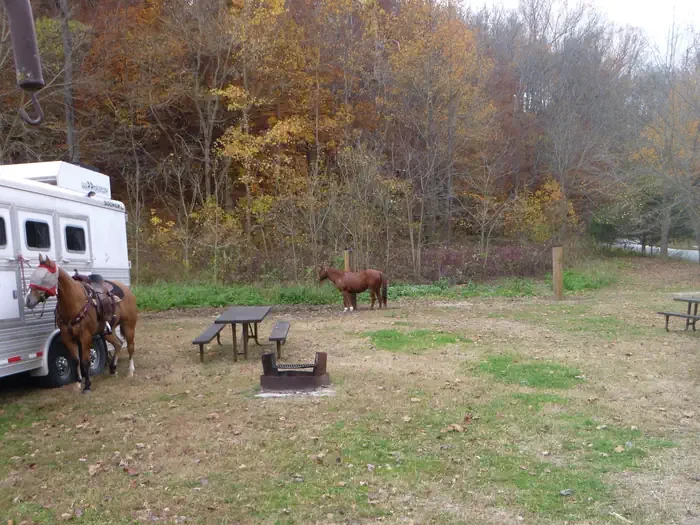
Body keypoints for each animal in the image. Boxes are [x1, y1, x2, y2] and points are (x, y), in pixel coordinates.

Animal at [24, 254, 138, 393]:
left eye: (45, 276)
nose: (28, 300)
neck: (74, 302)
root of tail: (126, 289)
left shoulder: (85, 336)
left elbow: (85, 361)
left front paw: (87, 386)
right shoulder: (67, 337)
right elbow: (75, 360)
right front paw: (77, 384)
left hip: (129, 326)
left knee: (130, 346)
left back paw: (130, 371)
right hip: (106, 331)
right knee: (118, 344)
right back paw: (112, 369)